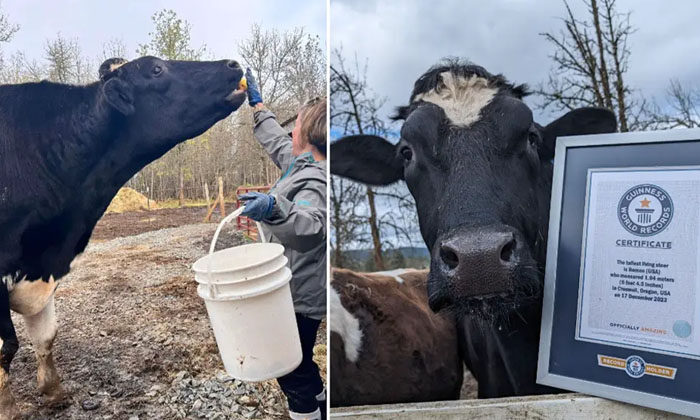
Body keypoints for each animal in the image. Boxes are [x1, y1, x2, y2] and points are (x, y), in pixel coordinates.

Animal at [0, 56, 246, 420]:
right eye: (156, 69)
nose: (232, 64)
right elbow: (7, 346)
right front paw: (7, 407)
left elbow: (46, 336)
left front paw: (54, 391)